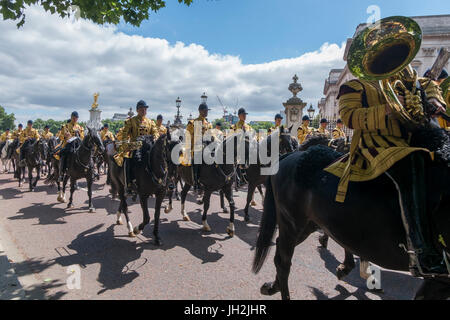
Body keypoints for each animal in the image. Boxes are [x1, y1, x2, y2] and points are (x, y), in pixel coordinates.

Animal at [253, 127, 450, 300]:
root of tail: (289, 158)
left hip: (305, 225)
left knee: (281, 249)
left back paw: (273, 286)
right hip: (292, 223)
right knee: (283, 260)